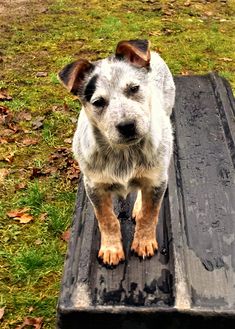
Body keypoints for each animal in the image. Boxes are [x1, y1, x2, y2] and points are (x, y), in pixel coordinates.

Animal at [58, 39, 174, 266]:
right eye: (98, 102)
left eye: (134, 88)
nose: (127, 126)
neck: (124, 154)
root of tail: (153, 54)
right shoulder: (94, 186)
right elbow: (106, 219)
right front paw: (111, 249)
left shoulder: (158, 181)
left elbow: (150, 214)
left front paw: (144, 242)